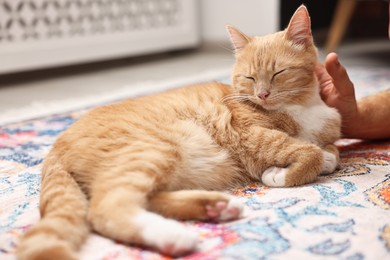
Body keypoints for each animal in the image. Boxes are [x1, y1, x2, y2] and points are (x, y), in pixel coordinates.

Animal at [17, 5, 342, 258]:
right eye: (249, 77)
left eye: (278, 73)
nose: (261, 95)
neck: (302, 107)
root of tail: (56, 145)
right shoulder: (252, 136)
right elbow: (305, 152)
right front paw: (283, 173)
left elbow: (331, 151)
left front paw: (325, 156)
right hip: (153, 149)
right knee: (107, 207)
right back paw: (174, 236)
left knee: (146, 198)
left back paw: (215, 207)